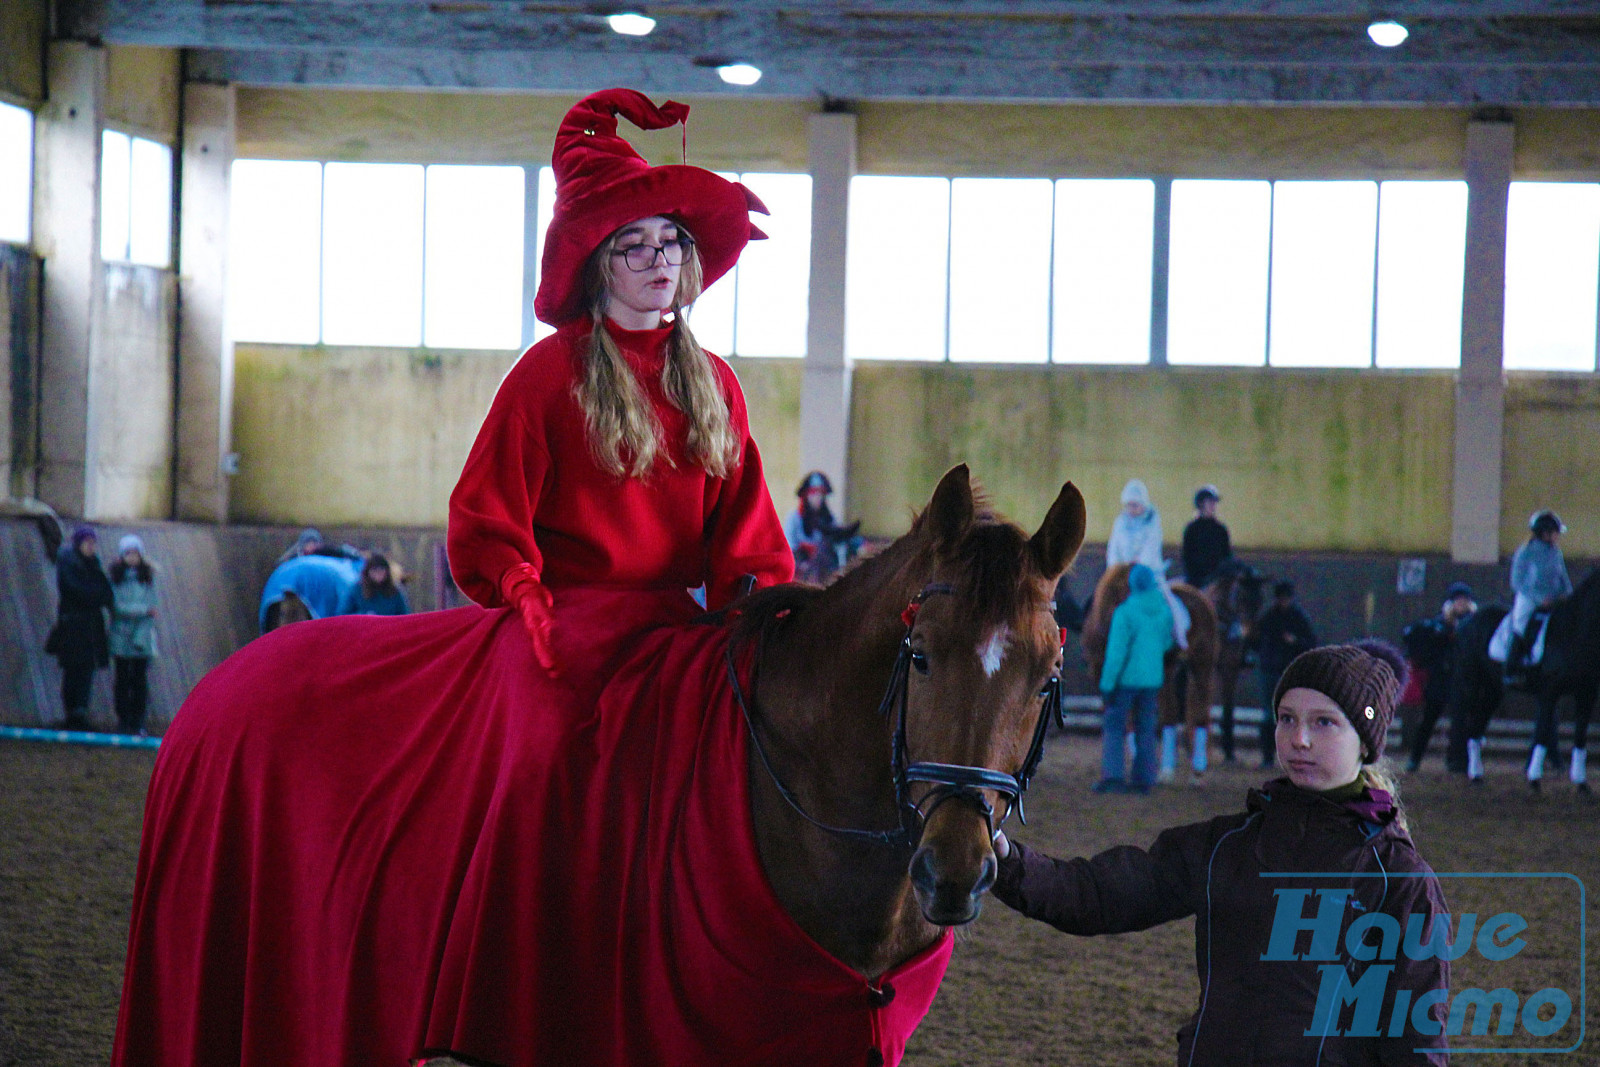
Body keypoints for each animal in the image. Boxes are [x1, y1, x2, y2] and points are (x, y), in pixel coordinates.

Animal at [1452, 572, 1600, 790]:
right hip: (1470, 685)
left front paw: (1581, 784)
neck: (1574, 632)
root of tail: (1467, 621)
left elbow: (1580, 736)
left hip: (1493, 690)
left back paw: (1477, 775)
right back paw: (1467, 770)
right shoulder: (1550, 693)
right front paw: (1534, 780)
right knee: (1468, 724)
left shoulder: (1586, 694)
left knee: (1477, 727)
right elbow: (1542, 732)